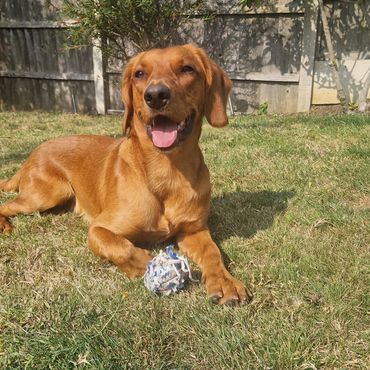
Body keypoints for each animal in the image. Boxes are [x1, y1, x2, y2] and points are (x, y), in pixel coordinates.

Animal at [0, 44, 251, 304]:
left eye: (187, 69)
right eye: (139, 74)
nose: (155, 95)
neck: (166, 171)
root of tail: (32, 154)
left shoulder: (194, 230)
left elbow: (212, 252)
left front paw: (224, 281)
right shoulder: (99, 230)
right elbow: (121, 247)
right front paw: (146, 263)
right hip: (47, 194)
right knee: (6, 206)